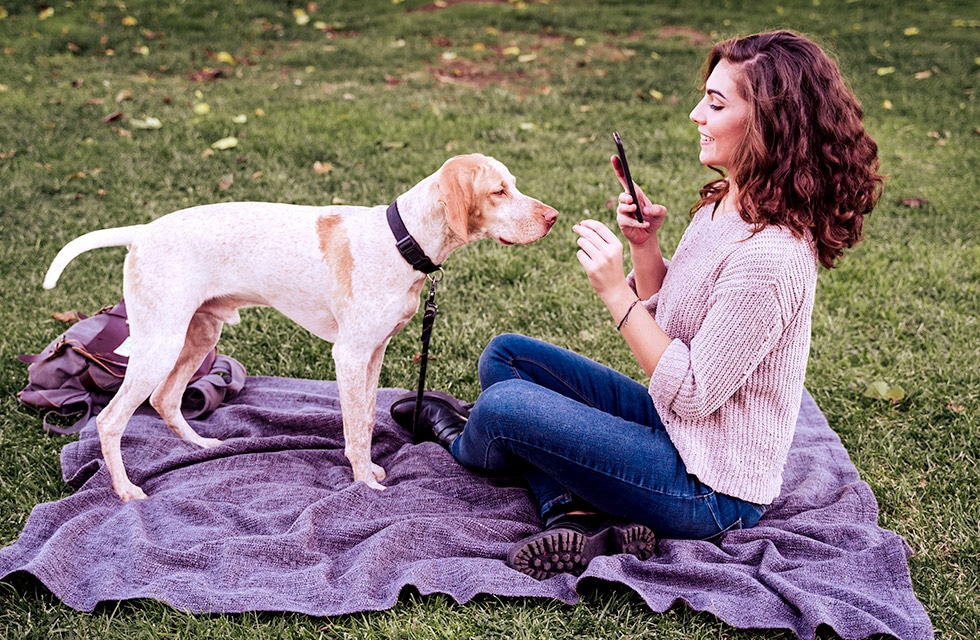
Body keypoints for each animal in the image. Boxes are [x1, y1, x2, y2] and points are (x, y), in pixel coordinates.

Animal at [44, 154, 560, 500]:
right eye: (498, 191)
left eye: (513, 186)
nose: (554, 217)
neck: (401, 240)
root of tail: (143, 231)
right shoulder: (349, 355)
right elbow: (354, 427)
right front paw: (363, 484)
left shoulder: (373, 354)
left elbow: (365, 420)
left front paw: (369, 470)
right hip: (159, 344)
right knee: (111, 420)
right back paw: (126, 491)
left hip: (199, 335)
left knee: (165, 400)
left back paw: (202, 446)